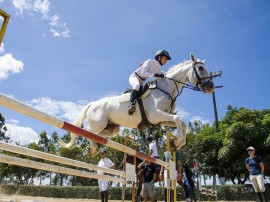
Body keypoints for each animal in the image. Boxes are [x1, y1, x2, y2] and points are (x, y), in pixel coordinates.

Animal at [58, 52, 215, 155]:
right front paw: (177, 141)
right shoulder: (156, 115)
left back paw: (93, 148)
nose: (211, 87)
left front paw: (176, 143)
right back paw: (93, 149)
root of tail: (92, 104)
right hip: (99, 123)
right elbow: (178, 119)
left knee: (96, 135)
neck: (167, 88)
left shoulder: (162, 119)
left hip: (111, 128)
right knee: (88, 131)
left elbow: (182, 123)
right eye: (200, 68)